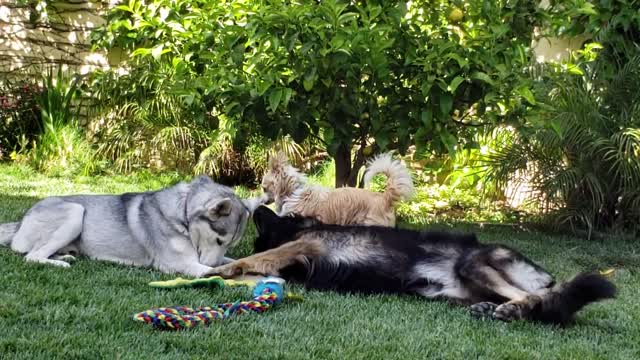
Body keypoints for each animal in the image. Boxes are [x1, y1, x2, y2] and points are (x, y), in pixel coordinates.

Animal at [0, 176, 264, 278]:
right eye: (219, 240)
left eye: (228, 244)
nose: (213, 261)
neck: (182, 215)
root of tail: (21, 221)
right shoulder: (179, 264)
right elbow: (211, 270)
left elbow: (234, 262)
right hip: (75, 213)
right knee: (31, 256)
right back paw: (59, 263)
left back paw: (64, 255)